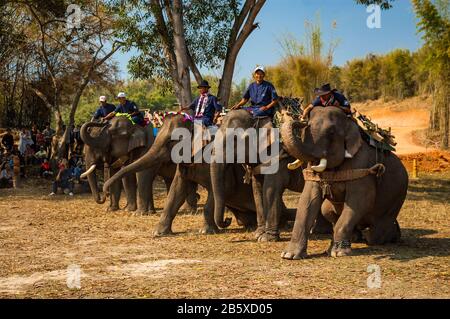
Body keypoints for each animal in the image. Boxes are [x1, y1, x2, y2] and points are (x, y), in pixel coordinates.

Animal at [103, 112, 298, 235]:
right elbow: (176, 190)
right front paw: (158, 233)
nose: (104, 192)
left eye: (172, 141)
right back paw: (248, 225)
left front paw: (206, 231)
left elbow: (219, 189)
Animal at [280, 105, 410, 260]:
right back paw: (355, 237)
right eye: (308, 125)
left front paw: (339, 252)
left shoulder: (361, 164)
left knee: (376, 233)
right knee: (326, 209)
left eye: (331, 132)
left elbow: (361, 201)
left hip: (397, 197)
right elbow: (308, 200)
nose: (300, 120)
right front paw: (289, 255)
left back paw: (389, 236)